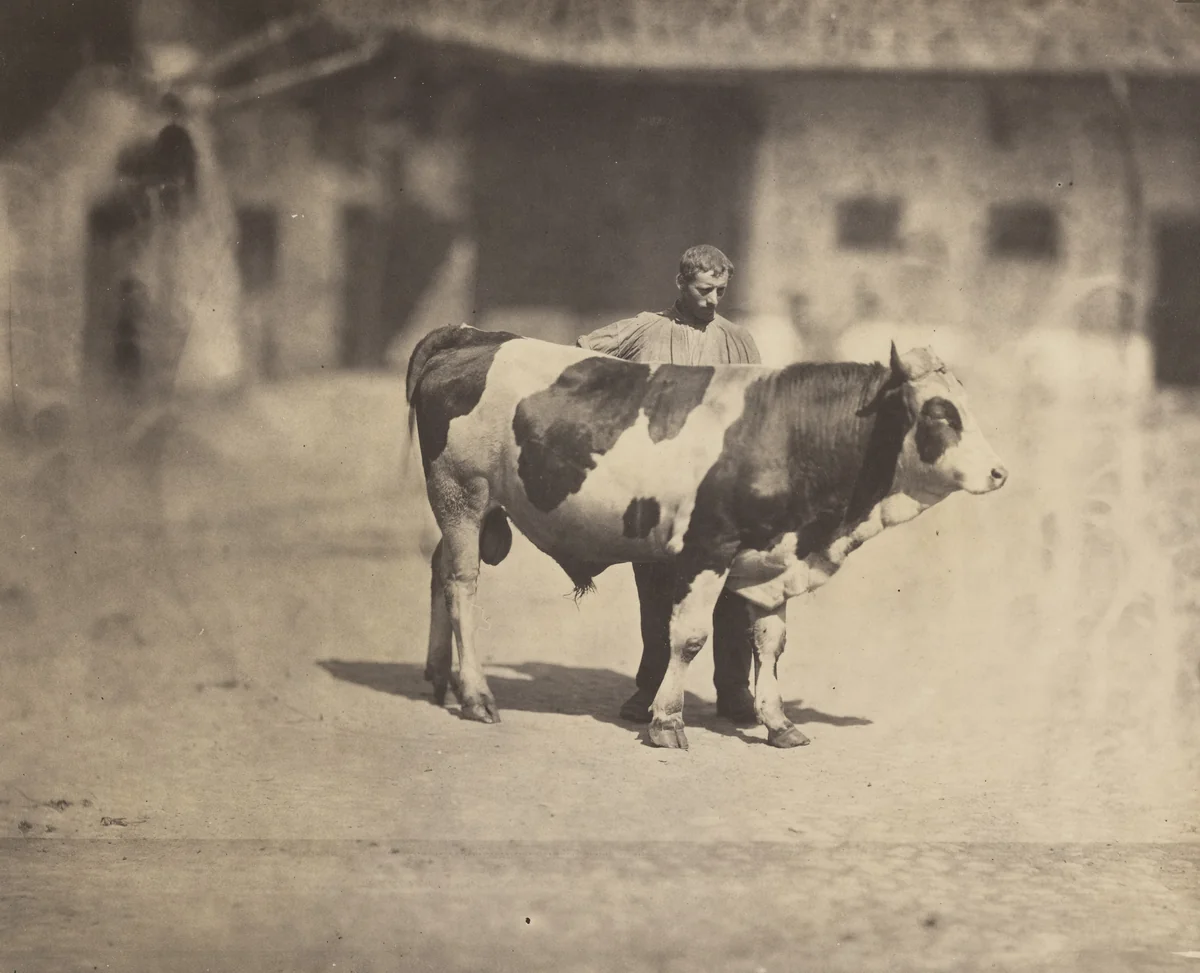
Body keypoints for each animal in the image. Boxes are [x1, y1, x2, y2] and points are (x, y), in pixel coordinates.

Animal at [405, 324, 1007, 750]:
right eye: (940, 413)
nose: (999, 472)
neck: (787, 431)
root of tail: (476, 335)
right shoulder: (707, 548)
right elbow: (689, 636)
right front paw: (666, 721)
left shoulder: (771, 559)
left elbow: (770, 642)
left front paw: (777, 722)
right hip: (461, 494)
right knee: (461, 585)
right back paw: (476, 694)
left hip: (476, 511)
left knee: (438, 569)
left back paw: (437, 676)